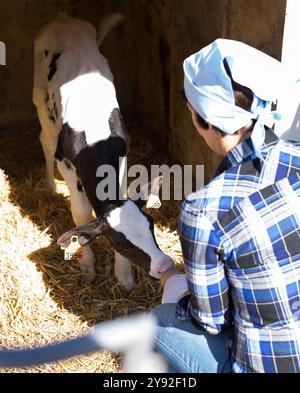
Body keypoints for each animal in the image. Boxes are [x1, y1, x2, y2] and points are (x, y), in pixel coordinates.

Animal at [32, 13, 173, 288]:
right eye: (121, 242)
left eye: (151, 225)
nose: (164, 265)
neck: (95, 137)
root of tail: (64, 20)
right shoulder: (66, 162)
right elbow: (81, 214)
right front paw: (87, 266)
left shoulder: (123, 154)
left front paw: (124, 275)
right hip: (41, 98)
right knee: (46, 139)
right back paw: (50, 185)